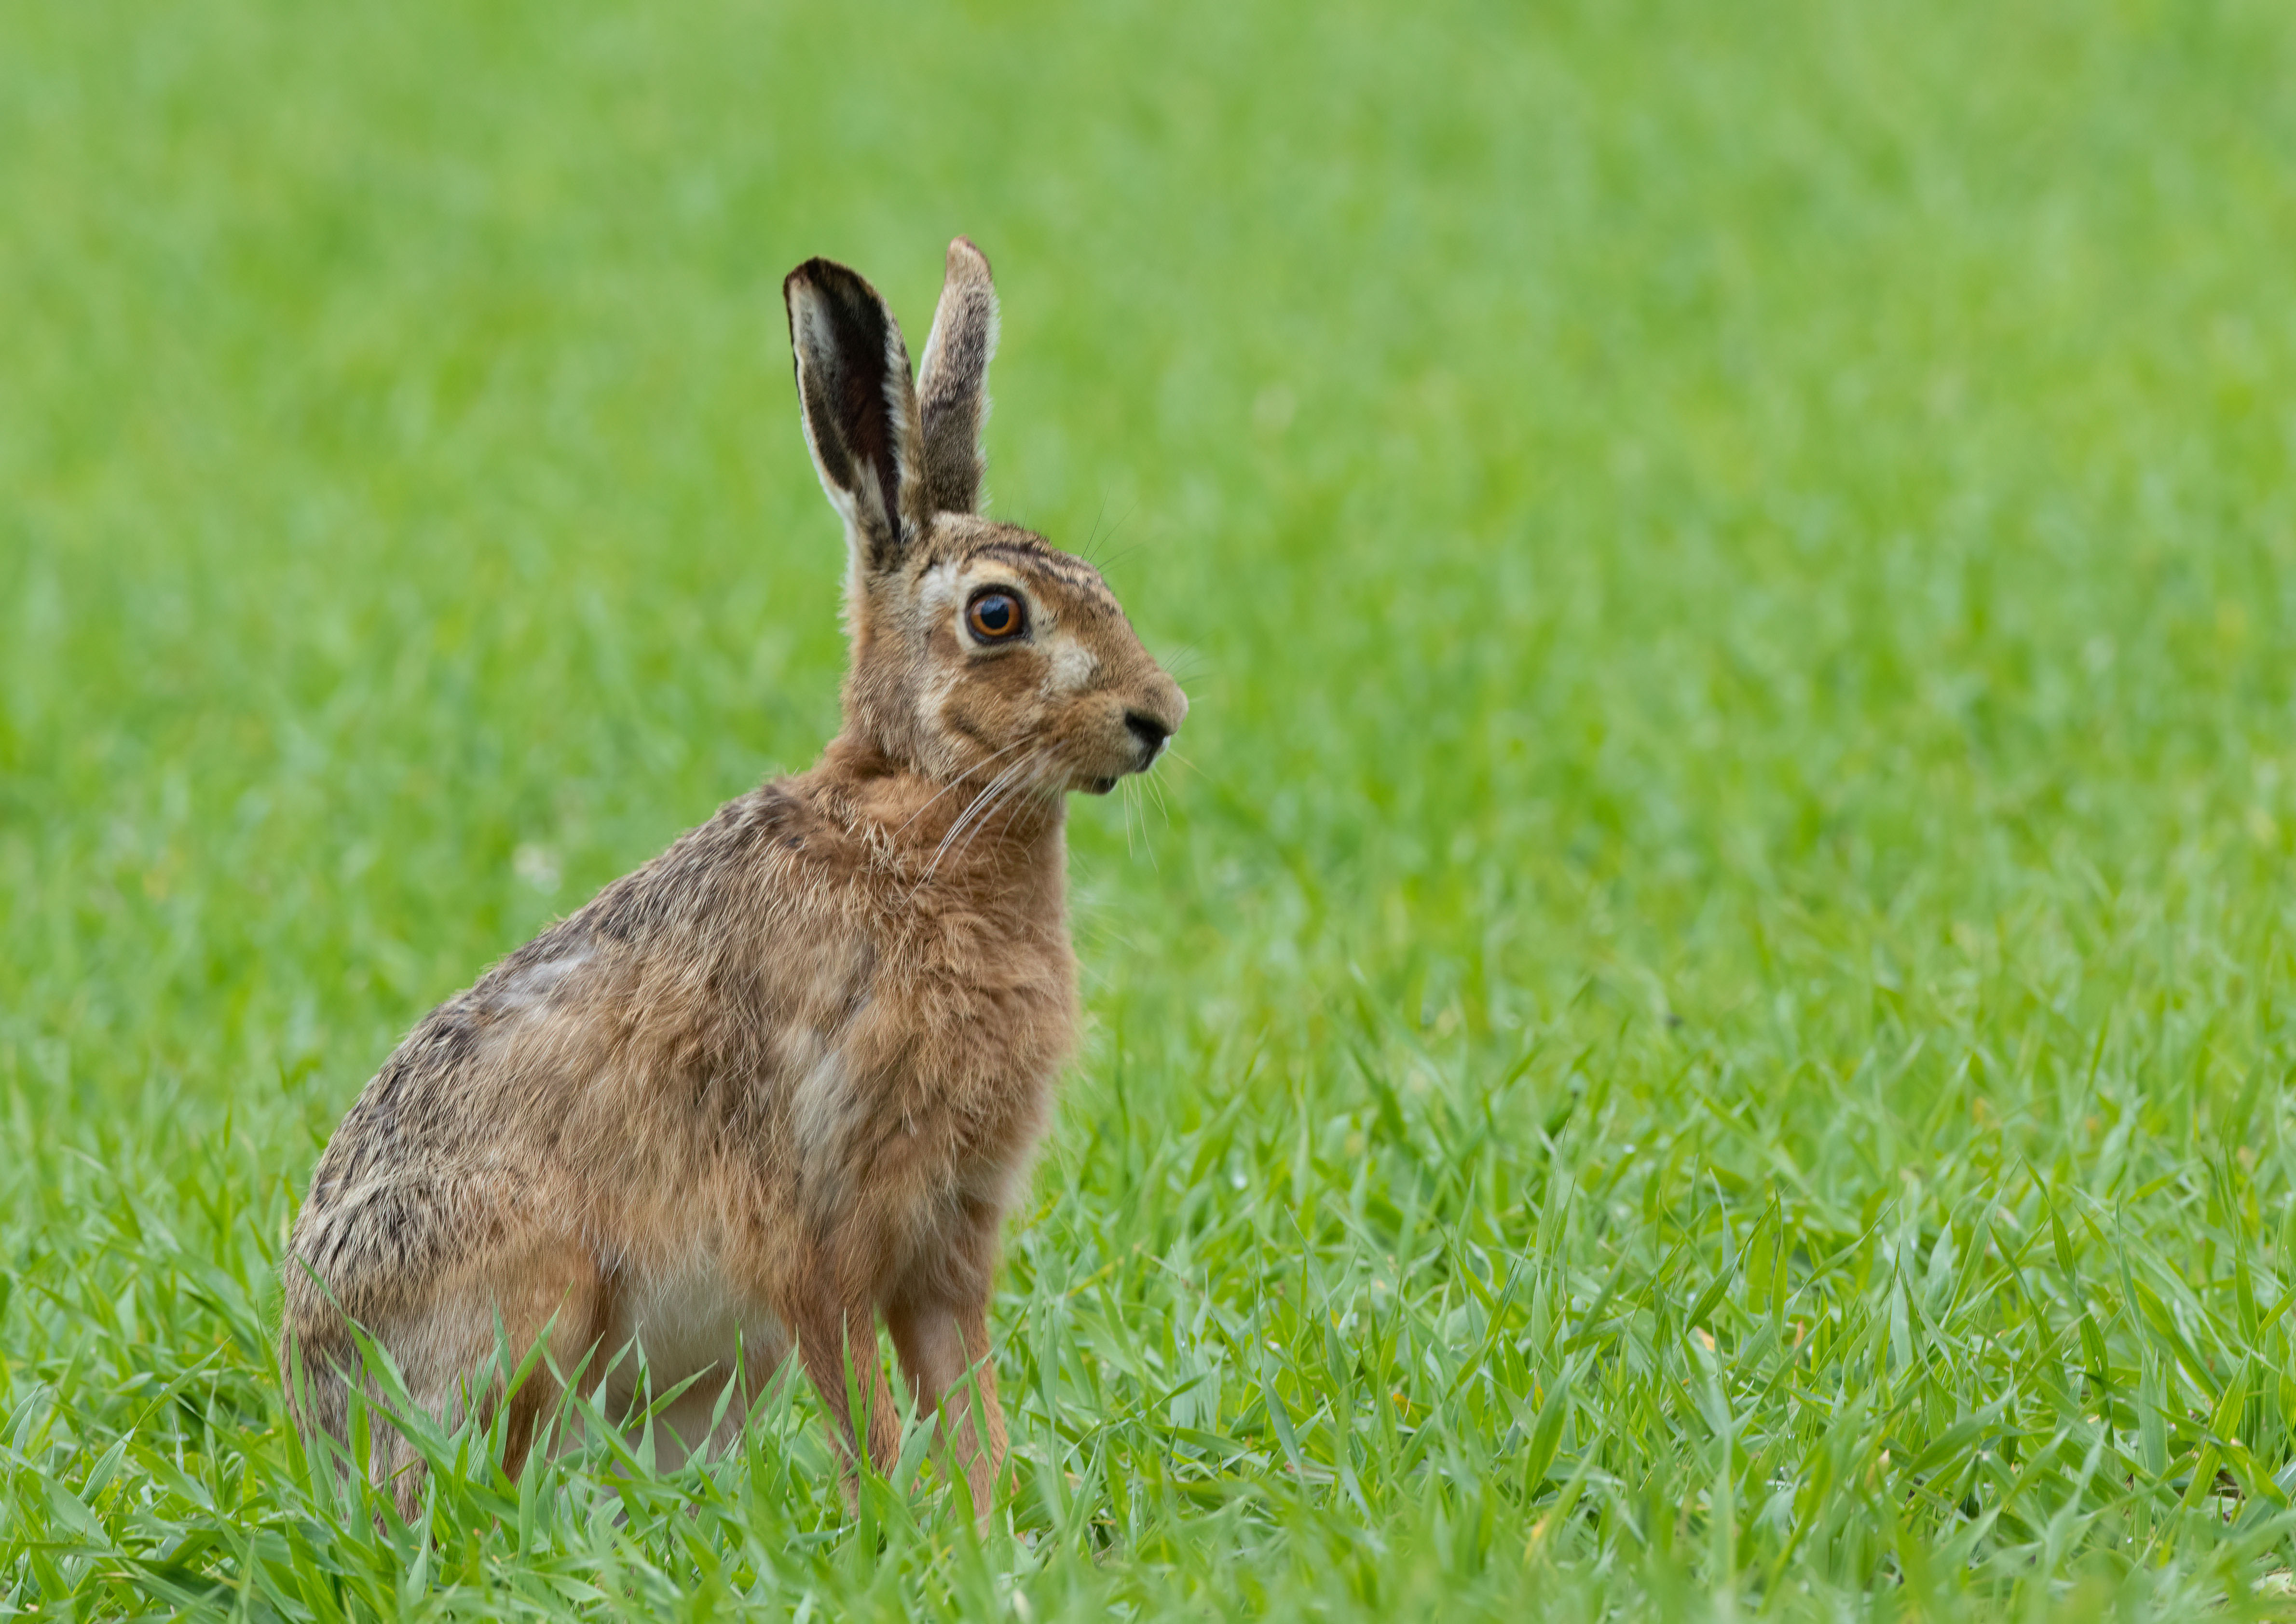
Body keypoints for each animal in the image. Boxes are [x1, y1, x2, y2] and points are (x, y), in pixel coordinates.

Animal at [279, 237, 1187, 1526]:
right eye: (997, 616)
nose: (1159, 718)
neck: (918, 806)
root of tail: (316, 1405)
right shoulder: (819, 1220)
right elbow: (866, 1411)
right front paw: (894, 1535)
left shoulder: (947, 1243)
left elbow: (967, 1404)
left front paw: (993, 1531)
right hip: (539, 1291)